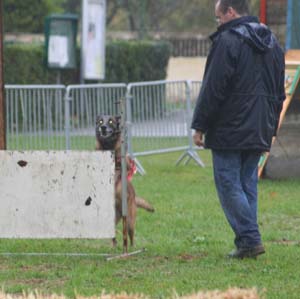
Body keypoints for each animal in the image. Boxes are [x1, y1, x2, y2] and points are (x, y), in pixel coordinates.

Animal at [95, 114, 155, 246]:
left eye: (111, 121)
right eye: (100, 121)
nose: (103, 127)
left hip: (129, 220)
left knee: (130, 235)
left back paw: (131, 247)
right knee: (113, 233)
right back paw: (114, 244)